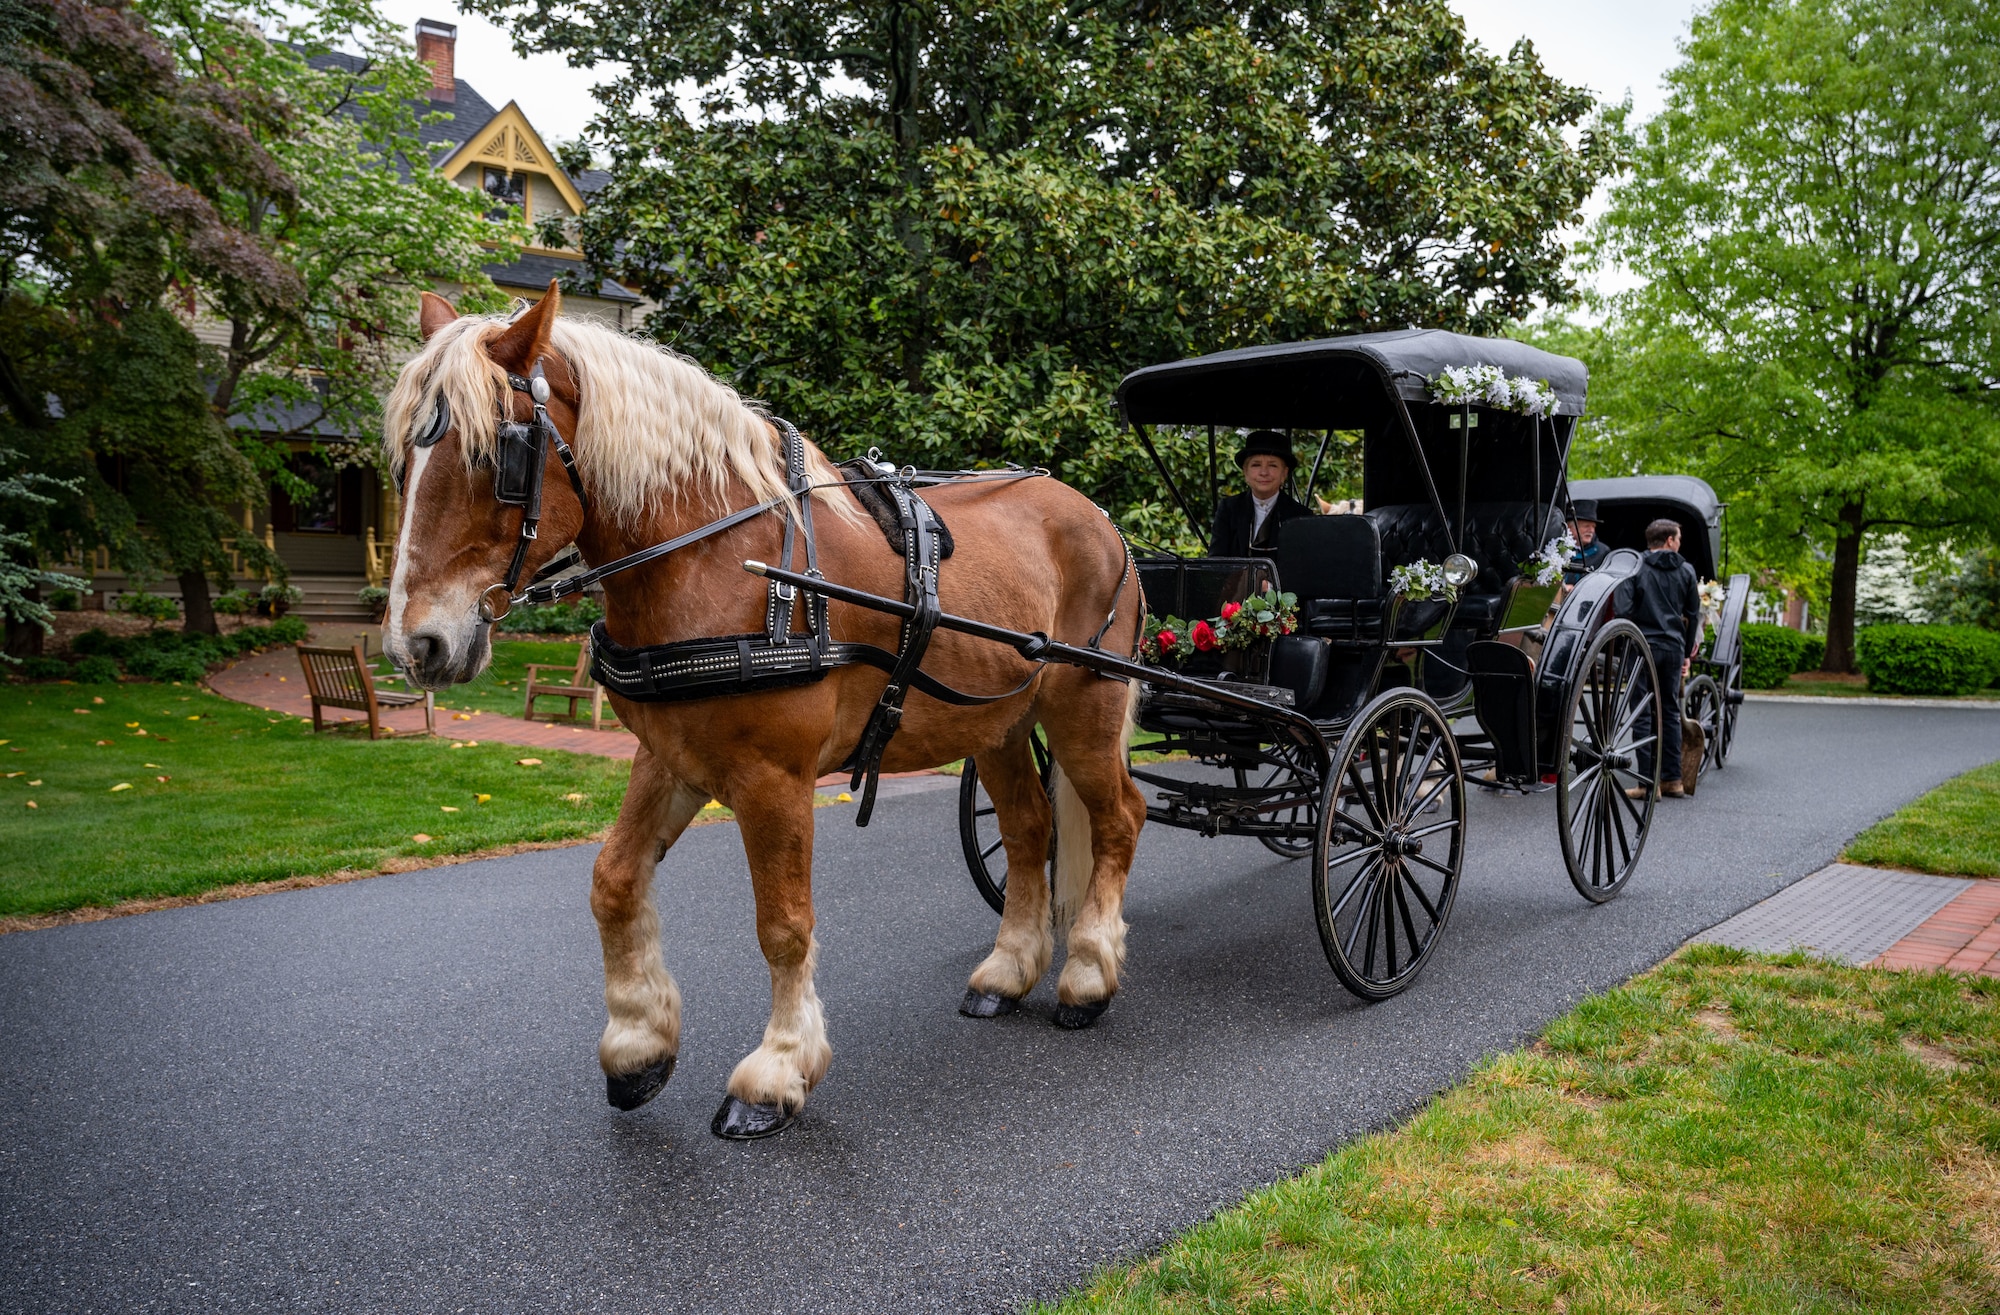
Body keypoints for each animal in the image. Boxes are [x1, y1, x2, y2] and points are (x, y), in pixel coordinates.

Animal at [382, 287, 1152, 1135]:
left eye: (497, 457)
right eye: (402, 463)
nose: (416, 644)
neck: (712, 557)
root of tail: (1099, 517)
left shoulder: (772, 777)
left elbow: (783, 925)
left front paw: (777, 1071)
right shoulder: (673, 757)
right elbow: (613, 880)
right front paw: (638, 1043)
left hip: (1086, 706)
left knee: (1119, 816)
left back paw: (1088, 973)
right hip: (1000, 722)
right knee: (1028, 830)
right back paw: (1008, 971)